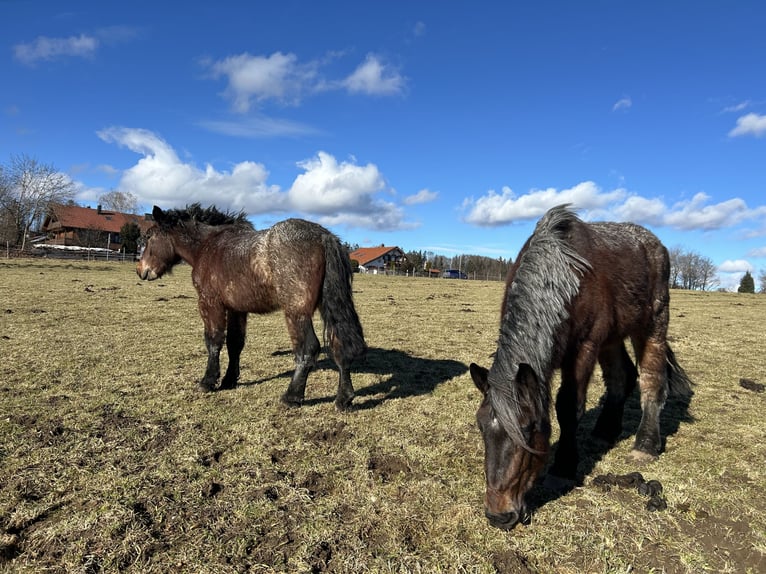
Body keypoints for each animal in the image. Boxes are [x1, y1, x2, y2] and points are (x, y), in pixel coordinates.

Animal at [137, 205, 368, 412]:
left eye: (148, 237)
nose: (140, 270)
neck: (208, 246)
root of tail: (323, 236)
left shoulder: (210, 303)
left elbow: (213, 341)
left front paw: (208, 381)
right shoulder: (236, 309)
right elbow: (235, 344)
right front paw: (229, 380)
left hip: (296, 312)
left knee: (308, 348)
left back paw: (291, 397)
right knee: (340, 345)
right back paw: (343, 399)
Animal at [472, 206, 692, 532]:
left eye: (528, 428)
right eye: (481, 426)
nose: (498, 515)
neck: (563, 276)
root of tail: (654, 243)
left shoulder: (584, 347)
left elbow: (568, 406)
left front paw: (563, 468)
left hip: (652, 324)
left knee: (651, 381)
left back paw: (645, 445)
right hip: (612, 338)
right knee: (621, 377)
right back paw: (605, 431)